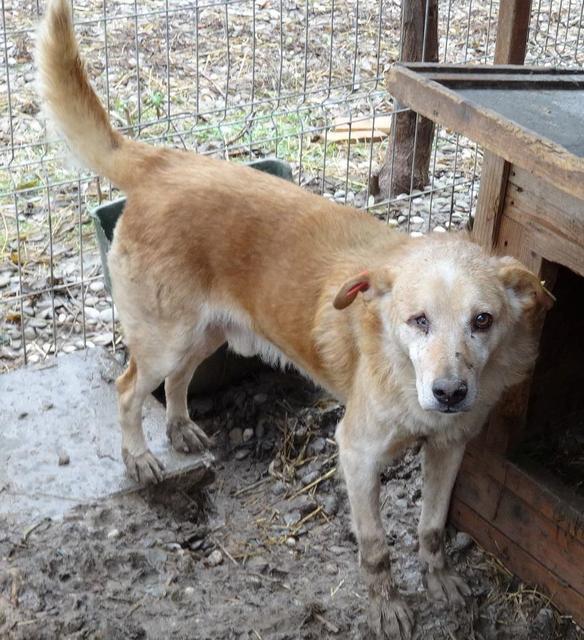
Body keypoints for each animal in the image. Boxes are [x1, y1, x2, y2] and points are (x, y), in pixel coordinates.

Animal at [35, 2, 552, 636]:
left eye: (482, 320)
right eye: (418, 321)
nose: (450, 393)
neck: (402, 371)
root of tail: (162, 162)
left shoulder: (449, 448)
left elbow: (431, 528)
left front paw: (440, 581)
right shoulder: (356, 453)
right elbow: (376, 547)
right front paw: (388, 607)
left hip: (208, 332)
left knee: (178, 379)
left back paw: (179, 427)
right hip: (166, 336)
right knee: (129, 387)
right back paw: (140, 458)